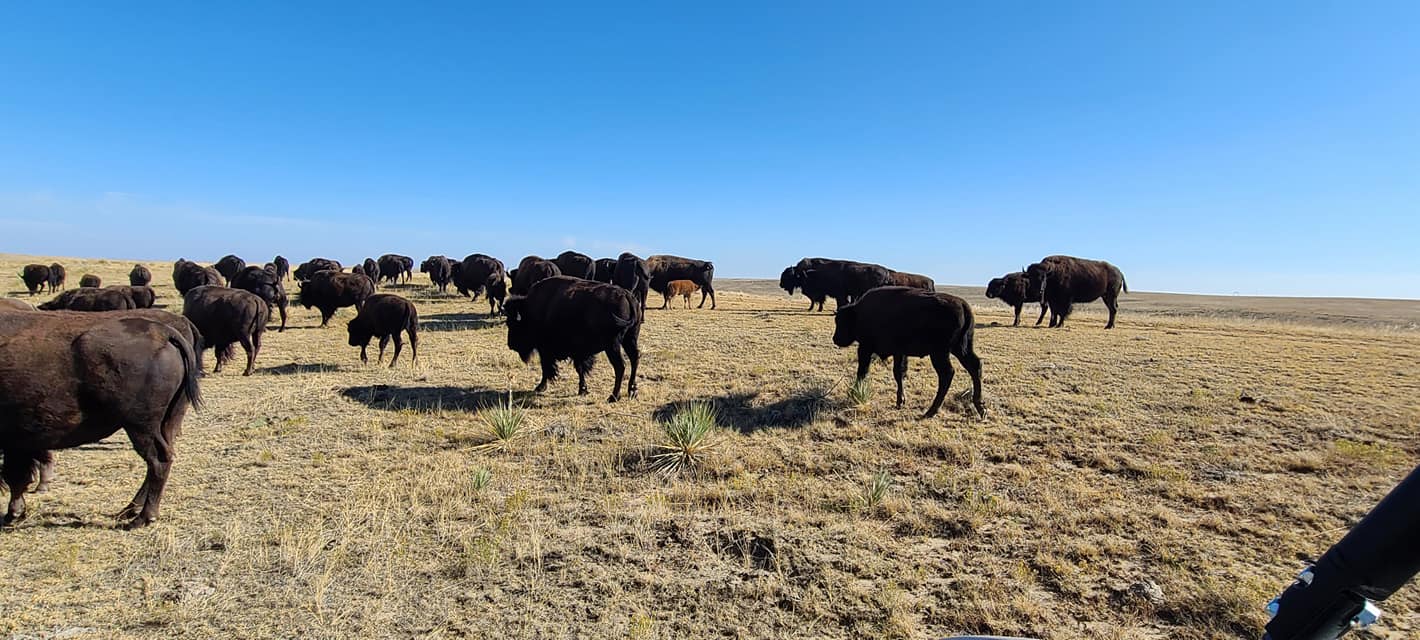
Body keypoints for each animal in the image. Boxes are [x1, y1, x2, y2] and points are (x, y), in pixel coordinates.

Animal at [0, 312, 201, 527]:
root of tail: (164, 333)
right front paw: (15, 513)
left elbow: (15, 476)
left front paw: (12, 514)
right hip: (164, 423)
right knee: (160, 459)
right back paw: (129, 511)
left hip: (141, 426)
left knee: (158, 460)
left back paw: (143, 518)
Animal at [505, 276, 642, 402]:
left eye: (512, 323)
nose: (510, 344)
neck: (530, 309)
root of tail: (626, 295)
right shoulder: (578, 352)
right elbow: (579, 369)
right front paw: (583, 389)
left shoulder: (545, 350)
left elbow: (547, 368)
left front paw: (540, 387)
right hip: (630, 339)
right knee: (634, 358)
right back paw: (632, 391)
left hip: (612, 345)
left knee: (620, 366)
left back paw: (613, 397)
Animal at [833, 286, 984, 419]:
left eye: (841, 321)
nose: (835, 339)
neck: (858, 313)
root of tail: (963, 306)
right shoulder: (899, 352)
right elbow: (898, 373)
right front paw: (900, 401)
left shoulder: (865, 348)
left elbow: (862, 371)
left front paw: (854, 393)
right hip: (961, 348)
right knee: (974, 367)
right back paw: (980, 408)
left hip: (940, 353)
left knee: (947, 373)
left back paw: (931, 411)